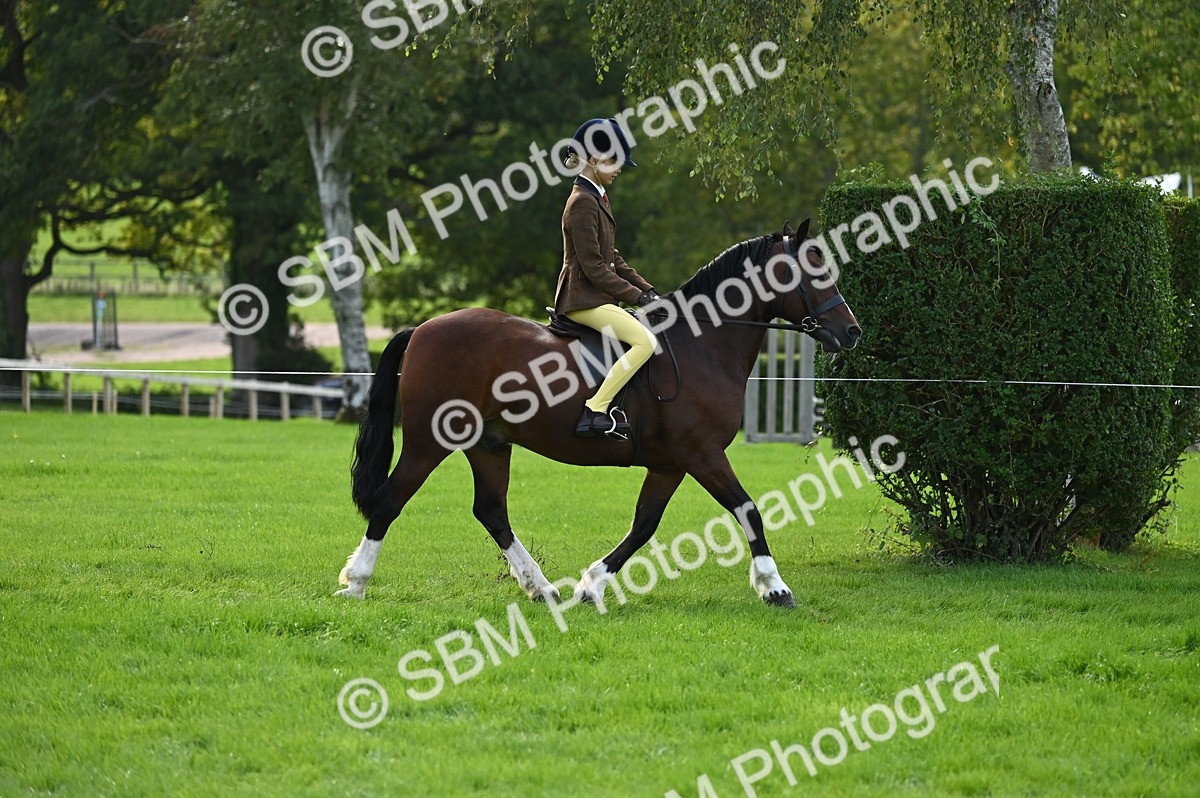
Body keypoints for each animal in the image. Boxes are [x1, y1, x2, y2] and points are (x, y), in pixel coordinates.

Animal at [338, 218, 861, 608]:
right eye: (813, 269)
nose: (852, 332)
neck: (703, 344)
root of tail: (423, 329)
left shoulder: (671, 463)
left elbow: (644, 524)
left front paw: (591, 585)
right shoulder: (702, 453)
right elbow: (747, 508)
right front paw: (775, 588)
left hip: (489, 443)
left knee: (491, 510)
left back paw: (542, 589)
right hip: (430, 441)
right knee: (390, 500)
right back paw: (356, 583)